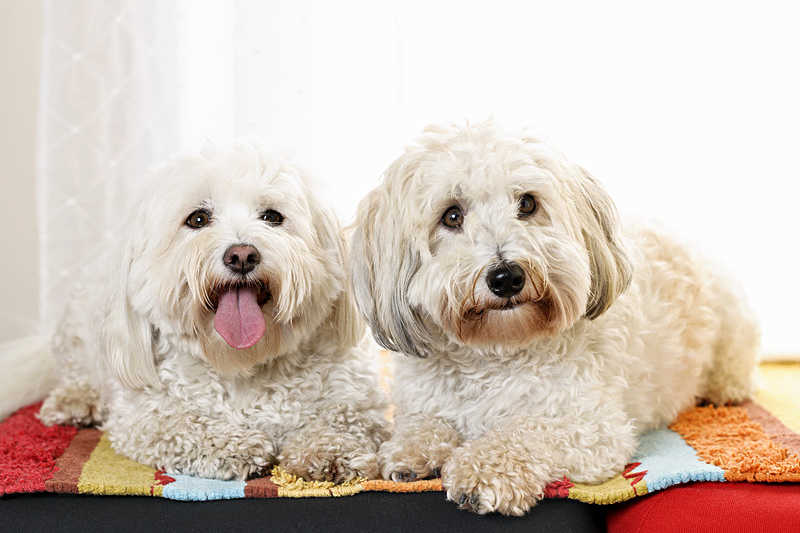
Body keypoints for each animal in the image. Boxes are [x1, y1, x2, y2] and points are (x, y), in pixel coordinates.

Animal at [34, 143, 390, 480]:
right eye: (198, 219)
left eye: (272, 217)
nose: (242, 255)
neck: (242, 363)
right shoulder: (142, 414)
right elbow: (181, 425)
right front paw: (239, 445)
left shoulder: (354, 398)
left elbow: (342, 418)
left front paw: (329, 451)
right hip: (76, 336)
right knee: (76, 372)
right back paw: (74, 401)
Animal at [354, 121, 760, 516]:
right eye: (452, 216)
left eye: (528, 203)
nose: (506, 276)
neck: (494, 353)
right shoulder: (424, 403)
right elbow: (422, 423)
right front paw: (410, 452)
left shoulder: (591, 428)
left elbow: (525, 431)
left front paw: (480, 471)